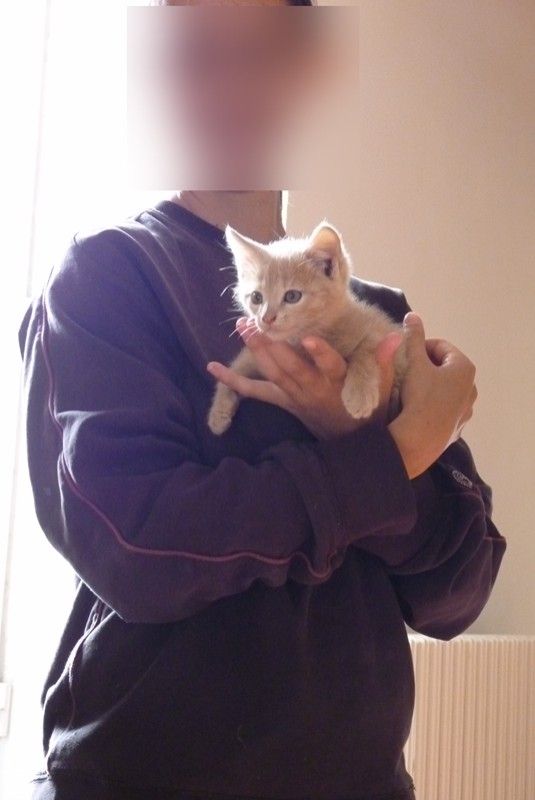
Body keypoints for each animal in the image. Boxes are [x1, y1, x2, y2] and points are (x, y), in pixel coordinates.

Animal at [207, 220, 408, 435]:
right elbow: (235, 369)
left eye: (292, 296)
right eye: (256, 297)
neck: (302, 339)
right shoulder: (255, 354)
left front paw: (359, 394)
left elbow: (367, 348)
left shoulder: (379, 330)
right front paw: (218, 412)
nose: (266, 318)